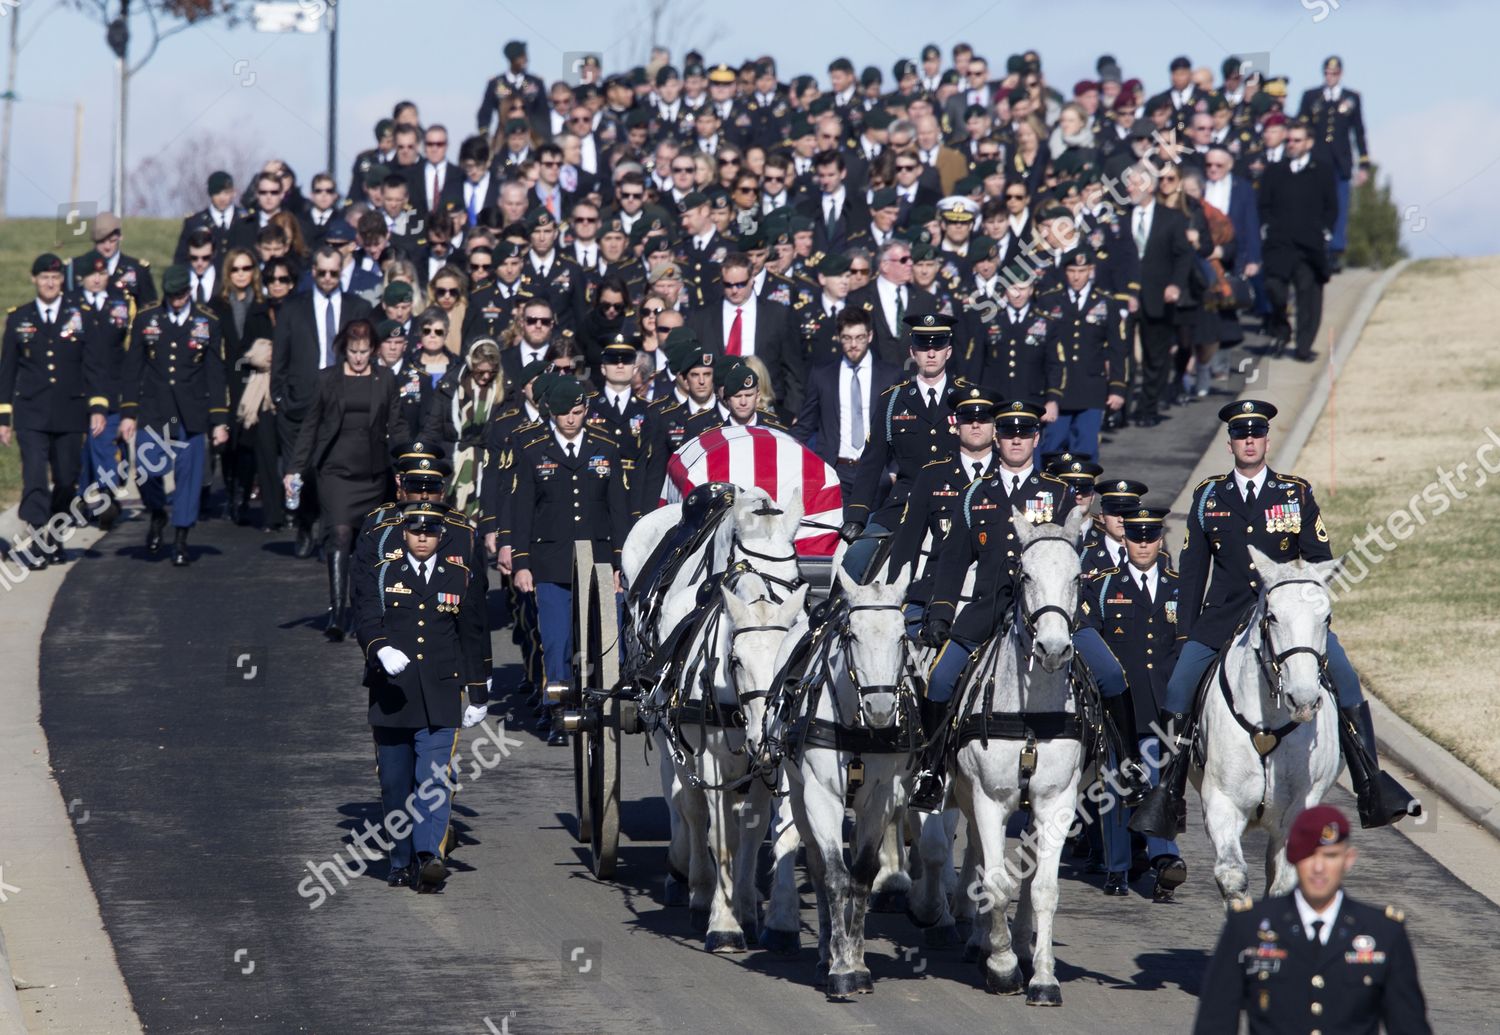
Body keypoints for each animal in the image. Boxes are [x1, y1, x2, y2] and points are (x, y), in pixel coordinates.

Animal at [780, 567, 918, 996]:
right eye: (852, 634)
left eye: (903, 636)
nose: (881, 709)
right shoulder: (820, 796)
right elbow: (835, 877)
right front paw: (840, 968)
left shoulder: (881, 798)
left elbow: (861, 876)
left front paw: (857, 962)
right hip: (798, 796)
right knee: (817, 866)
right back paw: (826, 951)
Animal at [912, 504, 1092, 1002]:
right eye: (1024, 574)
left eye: (1078, 577)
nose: (1054, 648)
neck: (1031, 715)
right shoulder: (988, 797)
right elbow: (993, 880)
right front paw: (1003, 966)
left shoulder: (1056, 803)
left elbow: (1044, 888)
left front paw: (1043, 976)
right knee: (976, 851)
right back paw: (980, 940)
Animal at [1188, 543, 1344, 906]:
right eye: (1272, 616)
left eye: (1326, 618)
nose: (1303, 699)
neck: (1269, 725)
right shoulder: (1222, 802)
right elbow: (1232, 875)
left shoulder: (1300, 809)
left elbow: (1285, 884)